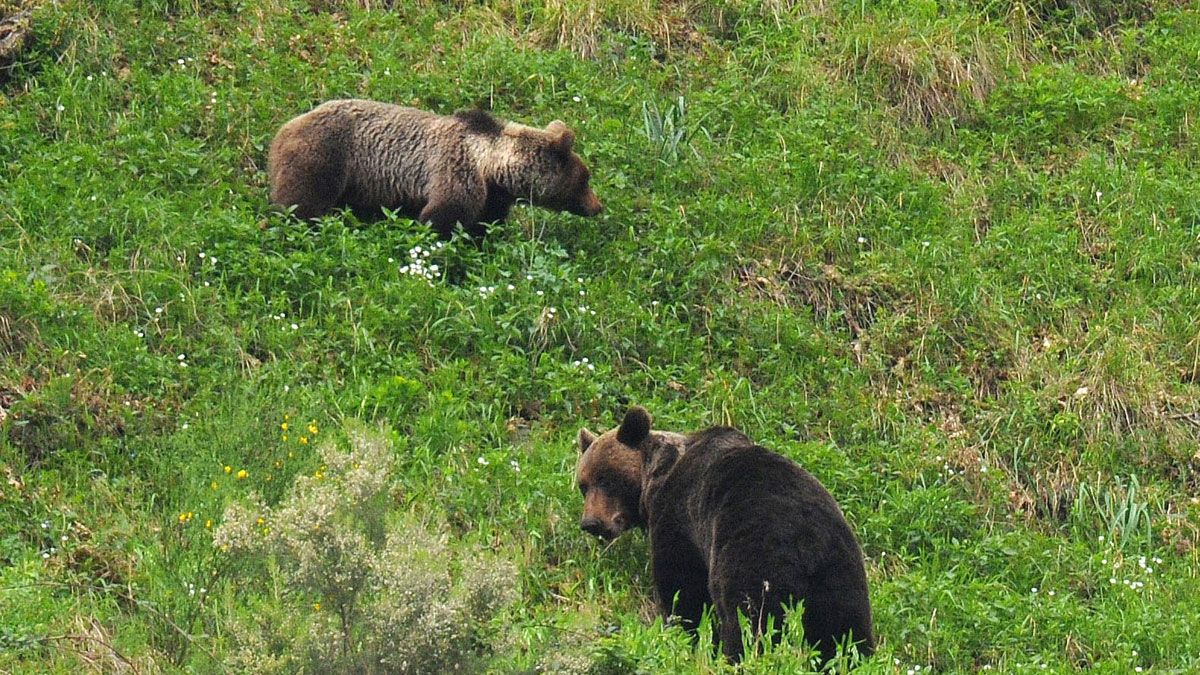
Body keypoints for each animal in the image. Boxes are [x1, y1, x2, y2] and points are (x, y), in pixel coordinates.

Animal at [266, 98, 600, 236]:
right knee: (301, 203)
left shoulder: (492, 197)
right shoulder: (455, 171)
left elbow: (485, 225)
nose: (598, 206)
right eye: (584, 179)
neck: (491, 166)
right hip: (325, 157)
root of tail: (282, 130)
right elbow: (441, 217)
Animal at [578, 403, 873, 662]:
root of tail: (807, 539)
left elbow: (683, 587)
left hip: (754, 557)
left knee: (748, 620)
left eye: (607, 479)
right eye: (583, 484)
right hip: (839, 573)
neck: (654, 478)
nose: (591, 523)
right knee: (843, 630)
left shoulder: (679, 518)